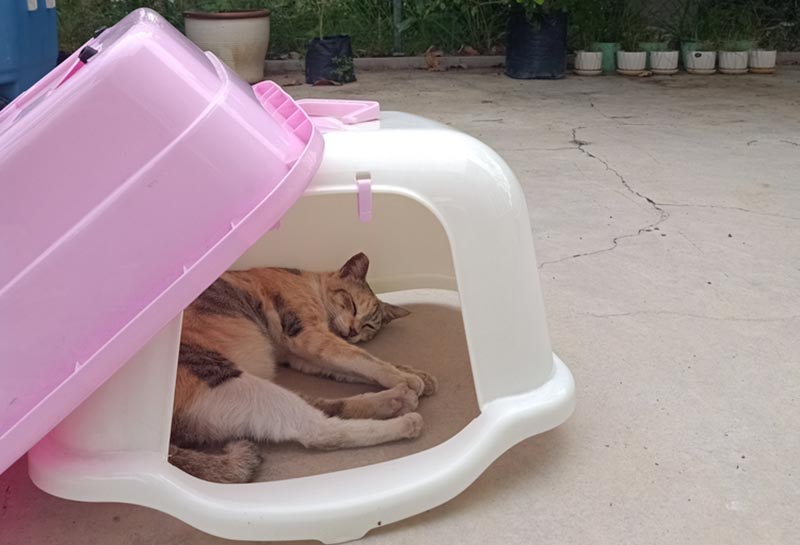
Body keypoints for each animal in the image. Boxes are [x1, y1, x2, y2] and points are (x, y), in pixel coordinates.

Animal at [168, 251, 438, 480]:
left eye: (369, 325)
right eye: (351, 304)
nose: (353, 331)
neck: (308, 282)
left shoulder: (301, 357)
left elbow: (359, 366)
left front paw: (419, 376)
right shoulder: (309, 337)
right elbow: (364, 359)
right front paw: (409, 379)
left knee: (325, 406)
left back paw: (396, 400)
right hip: (231, 380)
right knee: (322, 431)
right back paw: (405, 418)